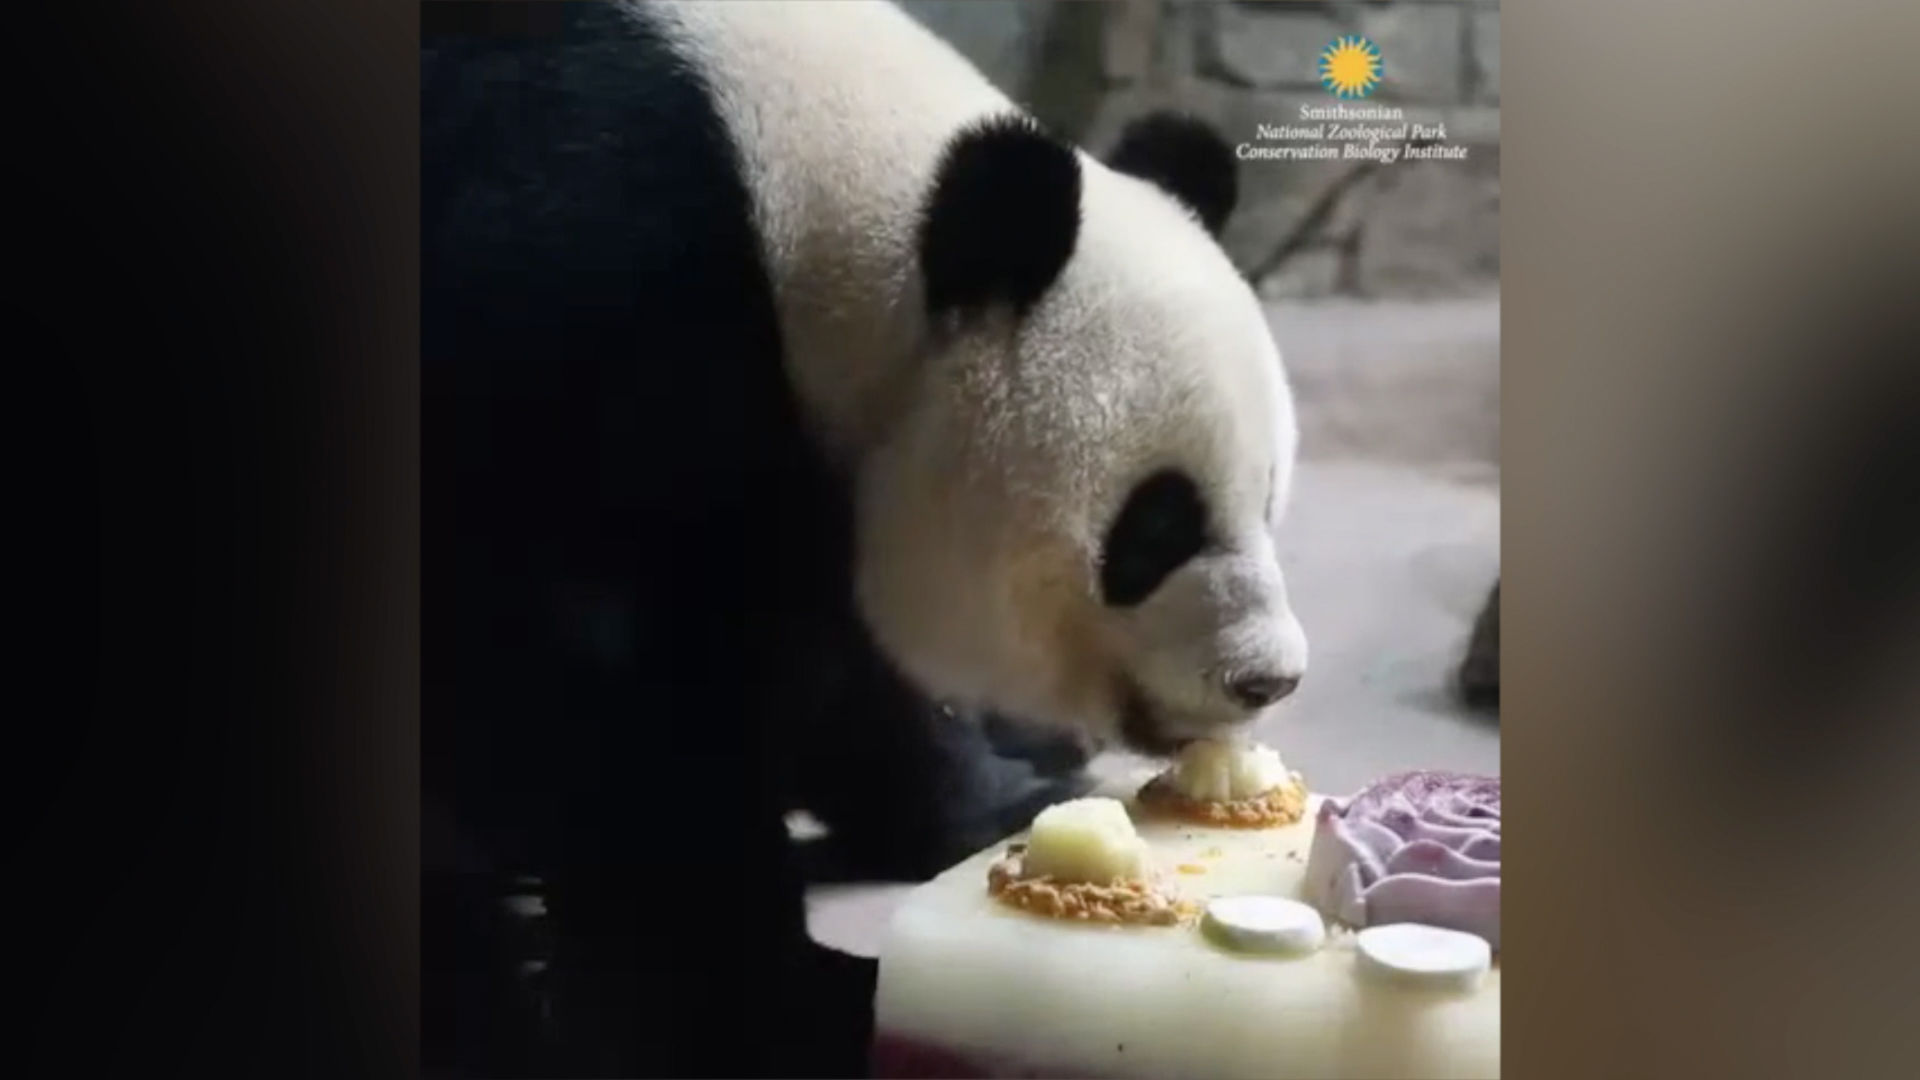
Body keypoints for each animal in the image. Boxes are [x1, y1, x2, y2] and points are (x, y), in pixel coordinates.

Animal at [421, 1, 1308, 1077]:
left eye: (1268, 498)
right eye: (1155, 530)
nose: (1266, 679)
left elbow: (828, 664)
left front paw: (989, 795)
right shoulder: (562, 300)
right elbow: (586, 690)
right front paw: (780, 996)